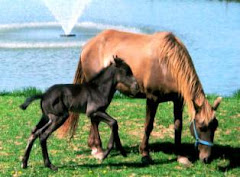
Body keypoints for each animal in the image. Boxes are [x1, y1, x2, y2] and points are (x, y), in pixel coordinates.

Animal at [57, 29, 221, 163]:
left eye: (215, 126)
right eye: (201, 127)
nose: (206, 158)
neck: (167, 64)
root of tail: (87, 45)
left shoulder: (178, 100)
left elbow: (178, 126)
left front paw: (180, 155)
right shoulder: (152, 99)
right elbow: (148, 126)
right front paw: (145, 154)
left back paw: (94, 146)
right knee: (94, 119)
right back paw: (97, 148)